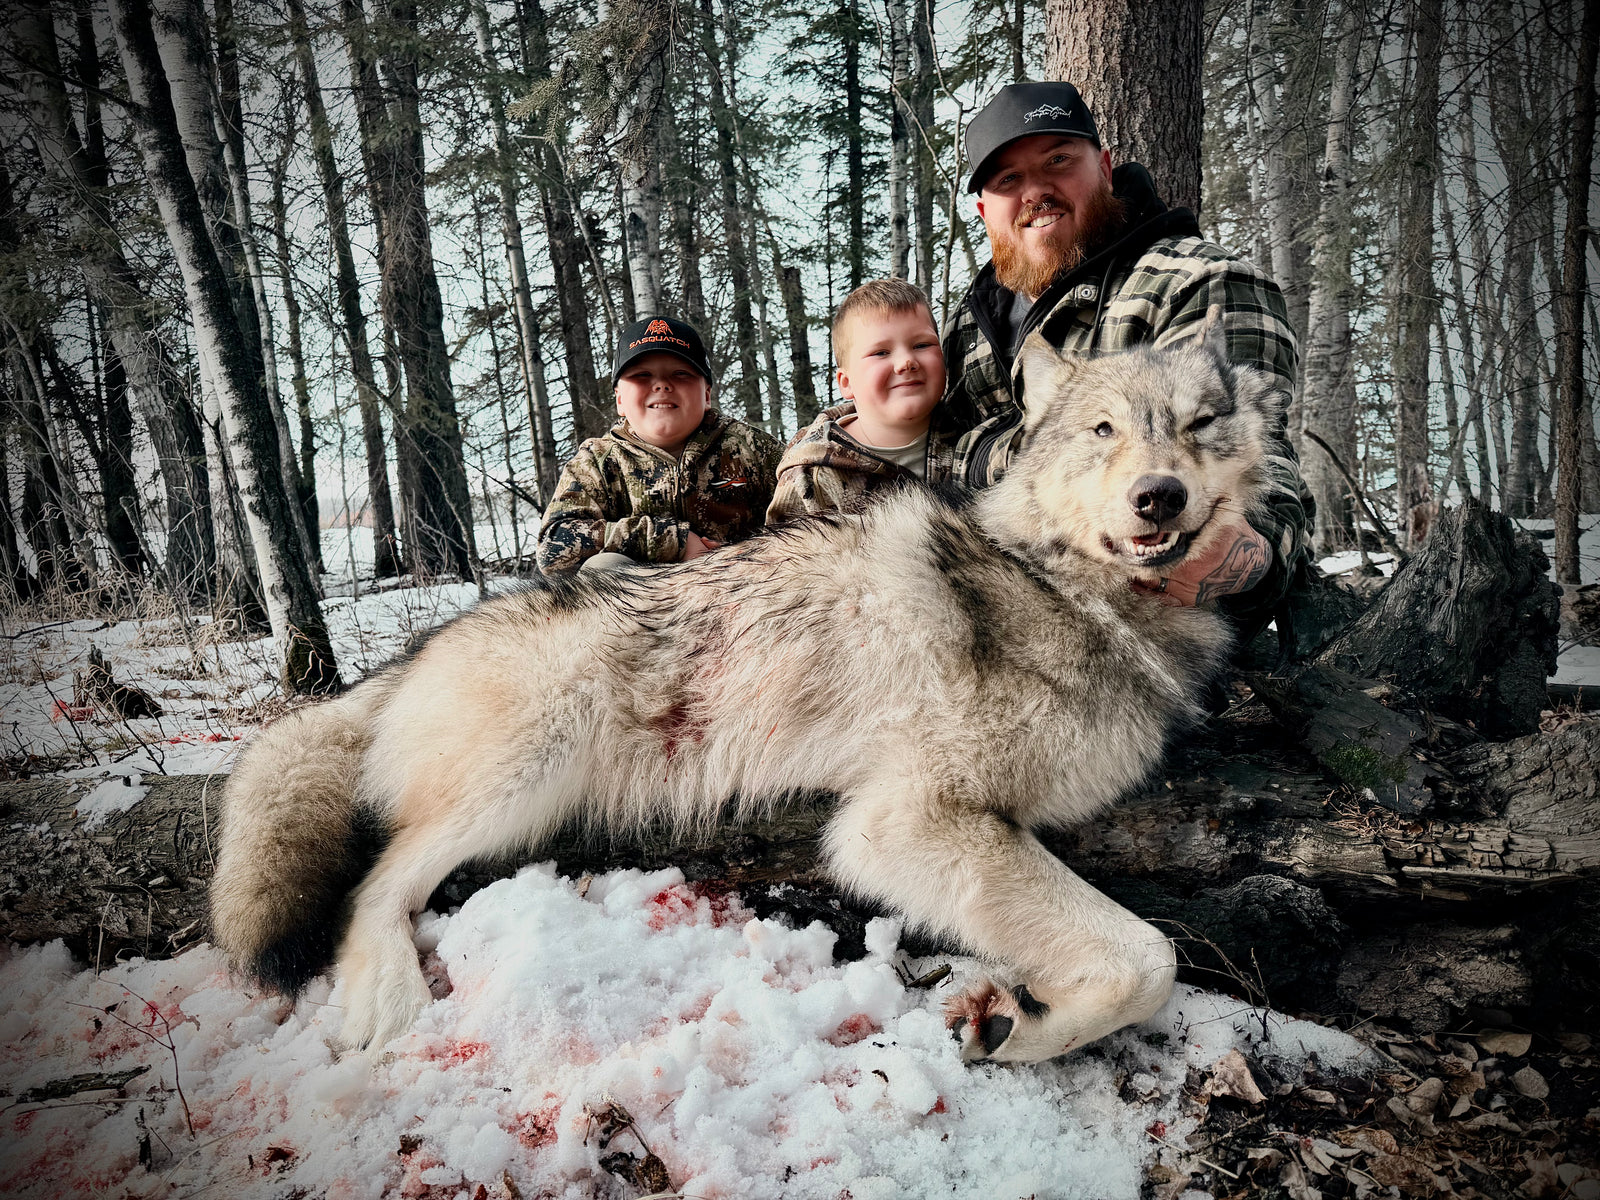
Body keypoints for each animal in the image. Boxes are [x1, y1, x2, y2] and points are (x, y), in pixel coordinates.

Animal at [210, 312, 1283, 1064]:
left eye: (1199, 426)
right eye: (1104, 429)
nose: (1159, 497)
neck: (1065, 585)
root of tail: (424, 644)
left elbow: (1133, 958)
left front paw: (1012, 1014)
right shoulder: (901, 821)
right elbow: (1150, 958)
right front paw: (1025, 1025)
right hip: (521, 779)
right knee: (372, 888)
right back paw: (388, 1003)